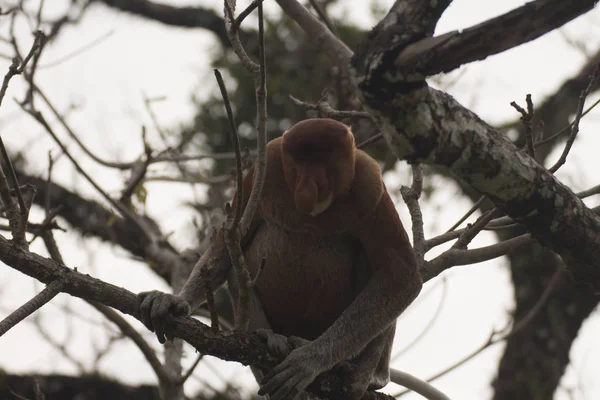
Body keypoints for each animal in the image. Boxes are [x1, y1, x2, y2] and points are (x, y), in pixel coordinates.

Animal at [139, 117, 422, 398]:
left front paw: (309, 360)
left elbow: (401, 274)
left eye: (321, 161)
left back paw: (360, 372)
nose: (306, 189)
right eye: (299, 162)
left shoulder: (369, 182)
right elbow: (225, 248)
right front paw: (172, 301)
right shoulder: (268, 164)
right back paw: (267, 336)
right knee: (237, 266)